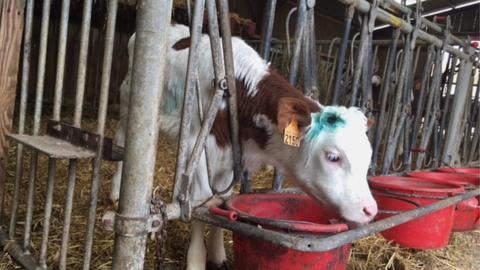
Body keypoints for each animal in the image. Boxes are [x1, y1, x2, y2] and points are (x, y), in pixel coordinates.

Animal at [110, 23, 376, 270]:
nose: (370, 210)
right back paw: (116, 189)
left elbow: (222, 200)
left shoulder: (231, 159)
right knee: (122, 139)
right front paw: (196, 259)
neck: (240, 95)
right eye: (333, 157)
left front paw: (218, 254)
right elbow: (201, 205)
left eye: (368, 157)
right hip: (128, 100)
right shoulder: (203, 152)